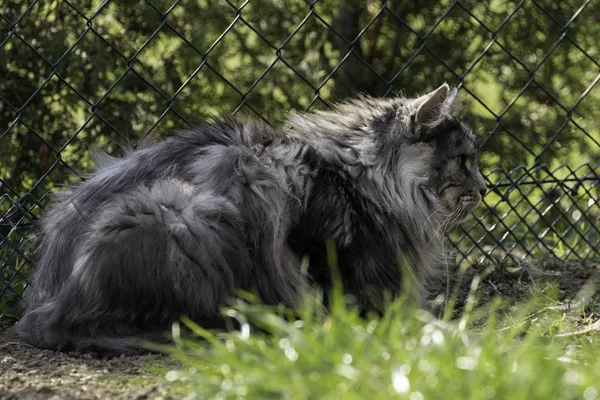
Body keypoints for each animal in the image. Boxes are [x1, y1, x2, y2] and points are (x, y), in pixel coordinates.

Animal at [16, 83, 488, 354]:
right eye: (464, 161)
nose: (485, 189)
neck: (360, 178)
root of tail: (41, 304)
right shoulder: (328, 254)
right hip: (179, 212)